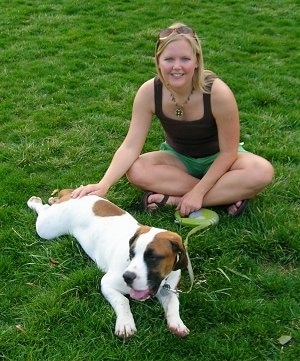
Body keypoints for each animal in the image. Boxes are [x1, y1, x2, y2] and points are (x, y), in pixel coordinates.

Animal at [26, 188, 190, 338]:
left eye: (153, 257)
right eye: (131, 253)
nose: (127, 277)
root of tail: (74, 194)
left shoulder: (168, 290)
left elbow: (173, 303)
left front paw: (177, 323)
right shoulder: (107, 284)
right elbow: (123, 301)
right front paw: (125, 323)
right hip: (47, 228)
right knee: (43, 211)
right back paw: (35, 202)